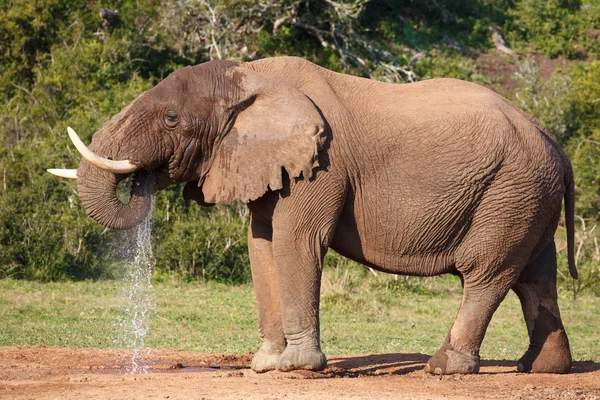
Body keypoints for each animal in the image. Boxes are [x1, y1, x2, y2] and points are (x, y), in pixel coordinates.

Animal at [50, 55, 576, 376]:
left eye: (172, 120)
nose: (144, 180)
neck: (250, 76)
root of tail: (556, 146)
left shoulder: (322, 164)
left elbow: (296, 241)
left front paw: (297, 367)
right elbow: (260, 244)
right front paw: (264, 364)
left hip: (510, 192)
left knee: (487, 274)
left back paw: (444, 368)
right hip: (528, 197)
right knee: (536, 276)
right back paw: (541, 368)